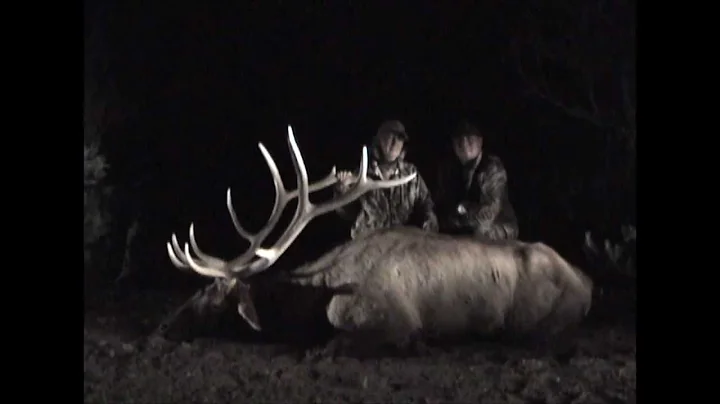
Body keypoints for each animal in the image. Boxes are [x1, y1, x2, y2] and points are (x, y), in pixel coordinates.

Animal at [159, 125, 594, 352]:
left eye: (211, 295)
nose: (162, 328)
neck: (309, 300)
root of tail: (587, 282)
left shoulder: (395, 322)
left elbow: (331, 346)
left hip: (539, 324)